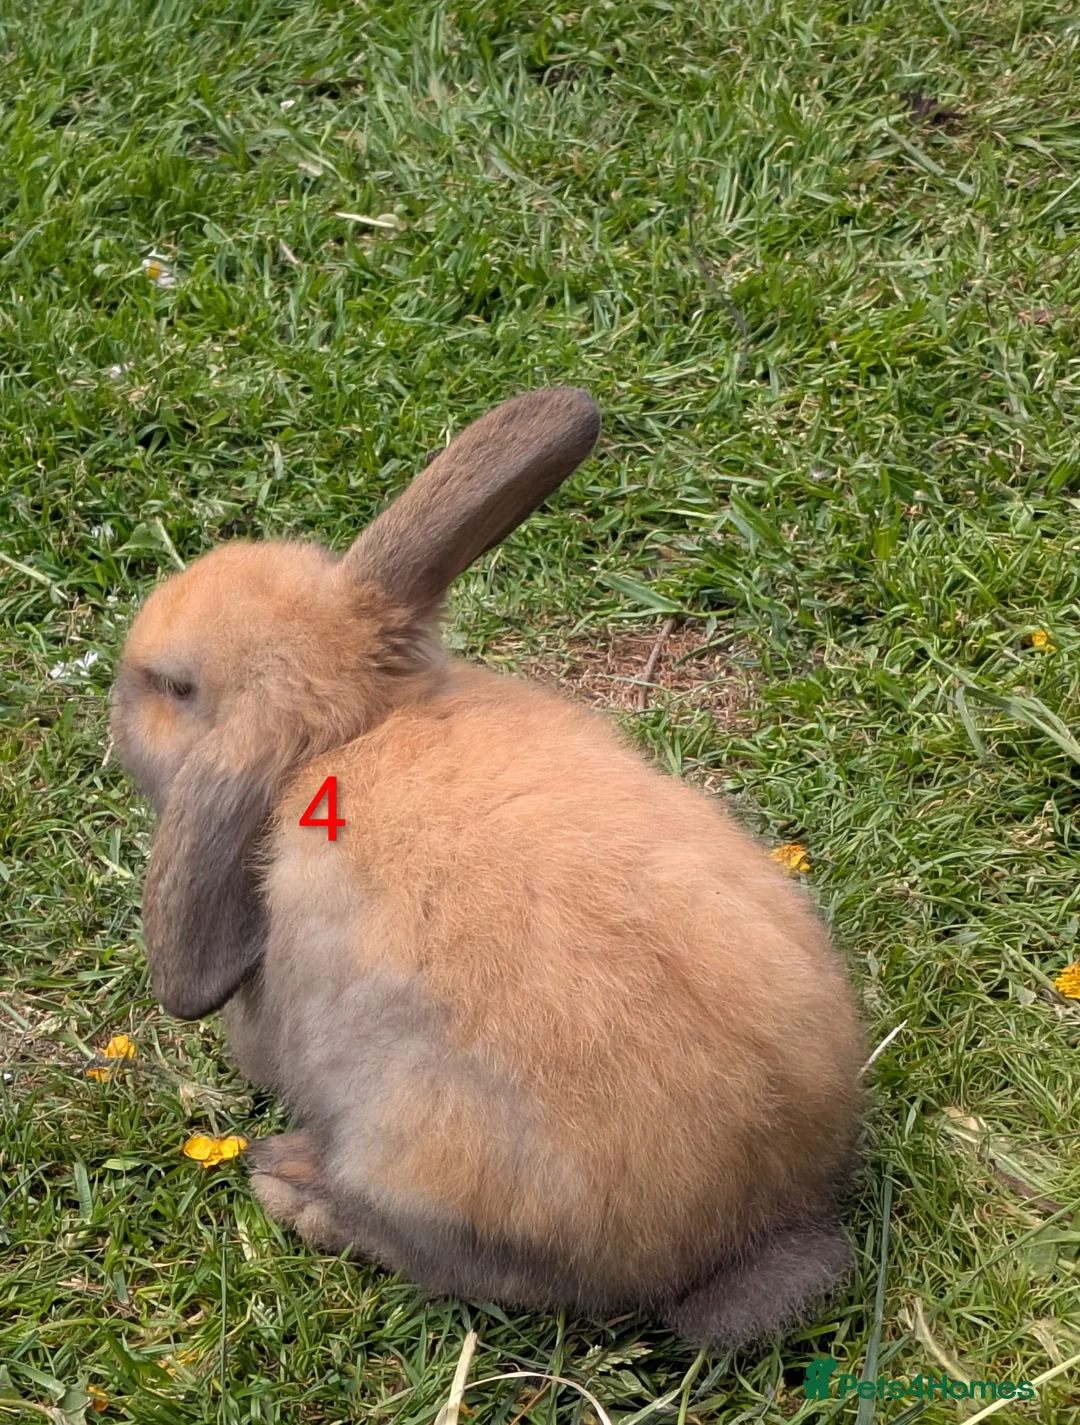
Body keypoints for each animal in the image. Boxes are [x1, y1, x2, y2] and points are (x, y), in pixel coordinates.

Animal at [110, 387, 865, 1348]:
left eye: (172, 687)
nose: (113, 696)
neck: (357, 732)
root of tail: (758, 1226)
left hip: (424, 1149)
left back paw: (296, 1185)